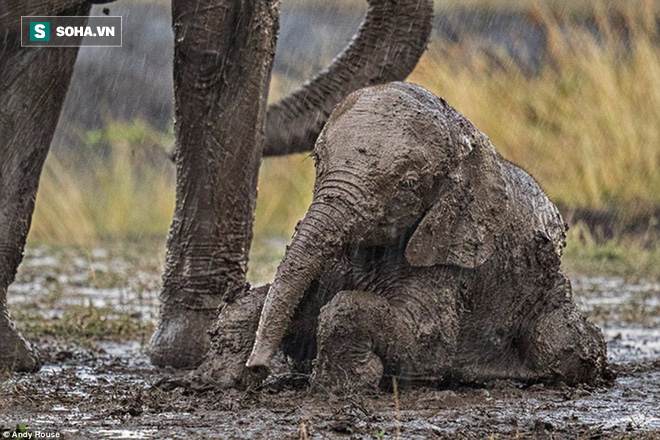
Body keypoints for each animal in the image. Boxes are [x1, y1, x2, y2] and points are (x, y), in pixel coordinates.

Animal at [206, 81, 608, 390]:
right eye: (317, 161)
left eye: (408, 184)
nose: (258, 368)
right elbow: (273, 300)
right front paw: (220, 380)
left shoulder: (449, 256)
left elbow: (423, 338)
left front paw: (343, 384)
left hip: (547, 296)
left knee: (564, 345)